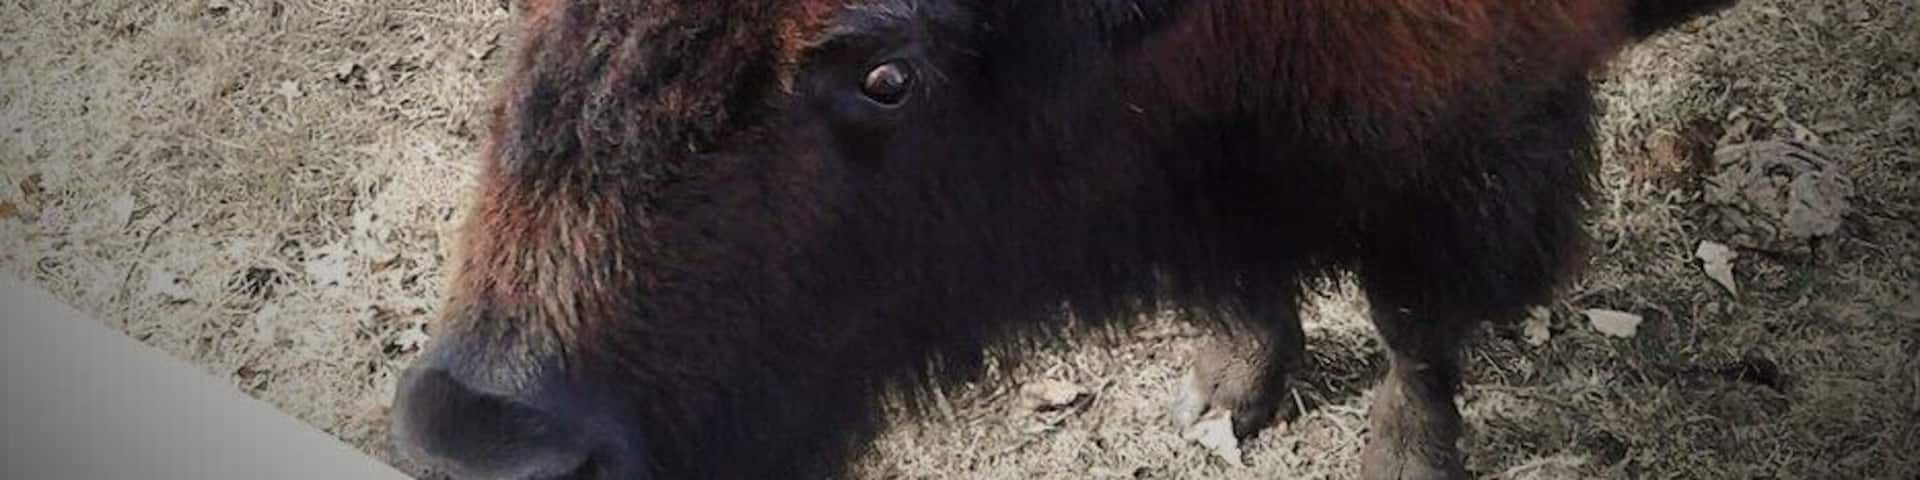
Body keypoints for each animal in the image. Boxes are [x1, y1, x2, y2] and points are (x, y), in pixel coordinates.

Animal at [389, 1, 1737, 478]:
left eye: (887, 76)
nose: (477, 435)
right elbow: (1247, 276)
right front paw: (1227, 394)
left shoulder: (1456, 150)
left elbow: (1414, 324)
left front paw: (1404, 462)